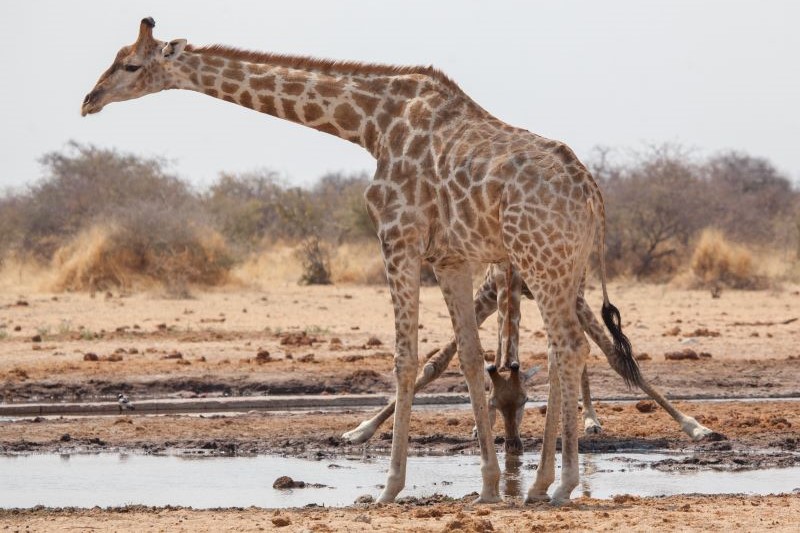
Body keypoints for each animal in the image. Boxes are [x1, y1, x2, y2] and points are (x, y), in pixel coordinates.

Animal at [81, 18, 713, 505]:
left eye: (131, 66)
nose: (89, 100)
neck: (368, 124)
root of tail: (592, 192)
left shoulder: (397, 237)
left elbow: (406, 360)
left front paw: (387, 487)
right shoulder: (453, 257)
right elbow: (468, 362)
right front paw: (488, 487)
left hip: (542, 259)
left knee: (572, 347)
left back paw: (556, 486)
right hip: (562, 265)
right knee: (565, 350)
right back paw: (539, 486)